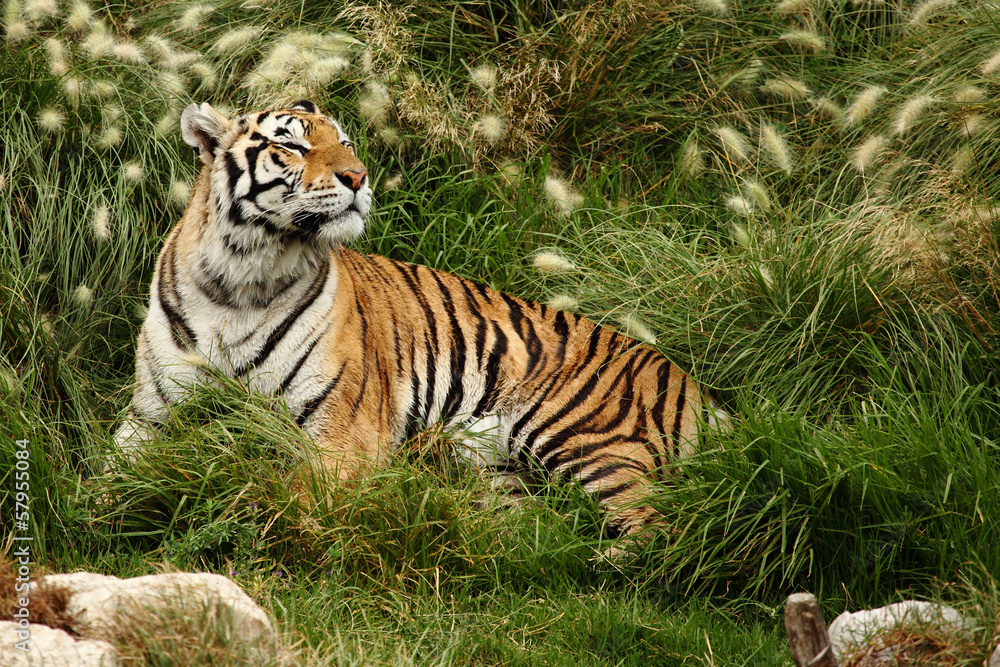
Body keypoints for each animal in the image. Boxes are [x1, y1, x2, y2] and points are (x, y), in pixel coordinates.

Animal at [115, 99, 729, 543]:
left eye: (344, 141)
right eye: (290, 144)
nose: (359, 177)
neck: (243, 278)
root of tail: (699, 391)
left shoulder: (343, 435)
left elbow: (285, 492)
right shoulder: (150, 415)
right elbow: (111, 476)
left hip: (579, 430)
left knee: (657, 531)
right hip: (498, 470)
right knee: (537, 524)